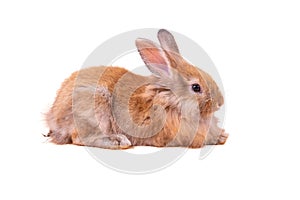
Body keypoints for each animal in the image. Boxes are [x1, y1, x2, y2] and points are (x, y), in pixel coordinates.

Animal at [45, 28, 227, 149]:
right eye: (196, 87)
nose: (220, 103)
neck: (173, 101)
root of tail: (54, 118)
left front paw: (222, 136)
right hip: (96, 106)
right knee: (80, 138)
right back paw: (119, 141)